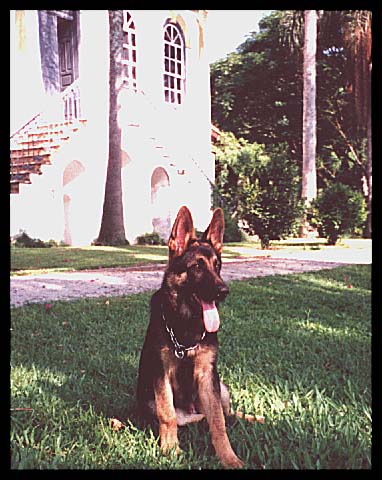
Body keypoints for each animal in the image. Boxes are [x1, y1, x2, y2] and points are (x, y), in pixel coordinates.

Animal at [137, 204, 245, 466]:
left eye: (217, 266)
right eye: (197, 266)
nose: (223, 291)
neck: (186, 326)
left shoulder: (207, 376)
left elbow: (218, 422)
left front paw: (228, 457)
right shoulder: (161, 376)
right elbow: (168, 415)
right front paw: (170, 450)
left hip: (220, 387)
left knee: (226, 414)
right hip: (149, 400)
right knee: (184, 419)